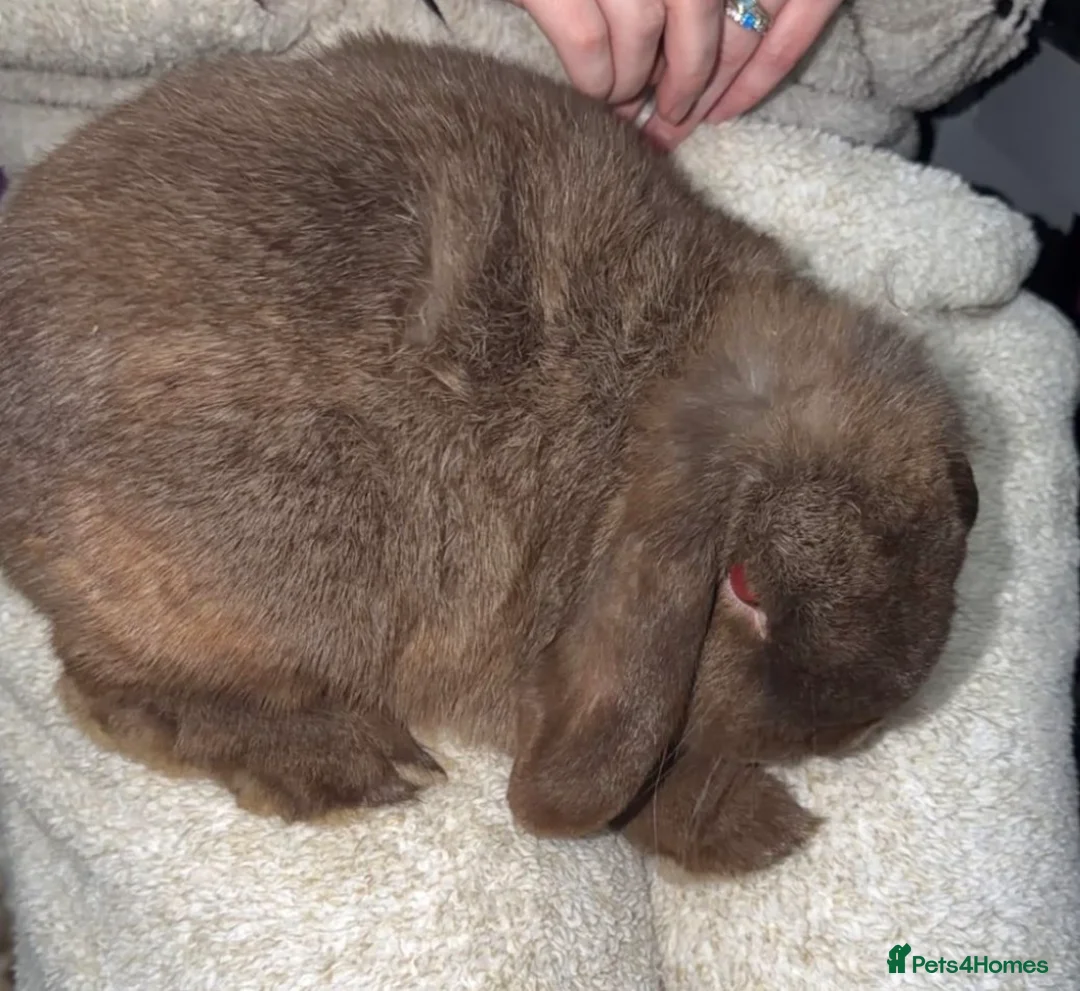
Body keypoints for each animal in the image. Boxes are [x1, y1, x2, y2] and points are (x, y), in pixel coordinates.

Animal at [0, 34, 978, 877]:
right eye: (744, 587)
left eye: (947, 520)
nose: (855, 730)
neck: (652, 381)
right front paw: (761, 830)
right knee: (109, 695)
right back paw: (356, 764)